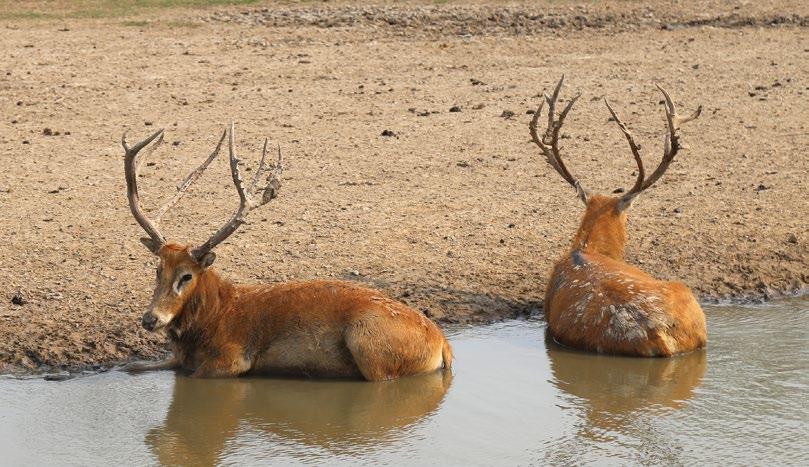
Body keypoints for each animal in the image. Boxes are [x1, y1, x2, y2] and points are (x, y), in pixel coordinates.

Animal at [120, 123, 452, 380]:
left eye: (187, 276)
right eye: (157, 270)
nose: (150, 319)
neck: (210, 320)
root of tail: (443, 344)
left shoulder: (231, 358)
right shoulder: (177, 360)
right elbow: (133, 367)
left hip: (368, 344)